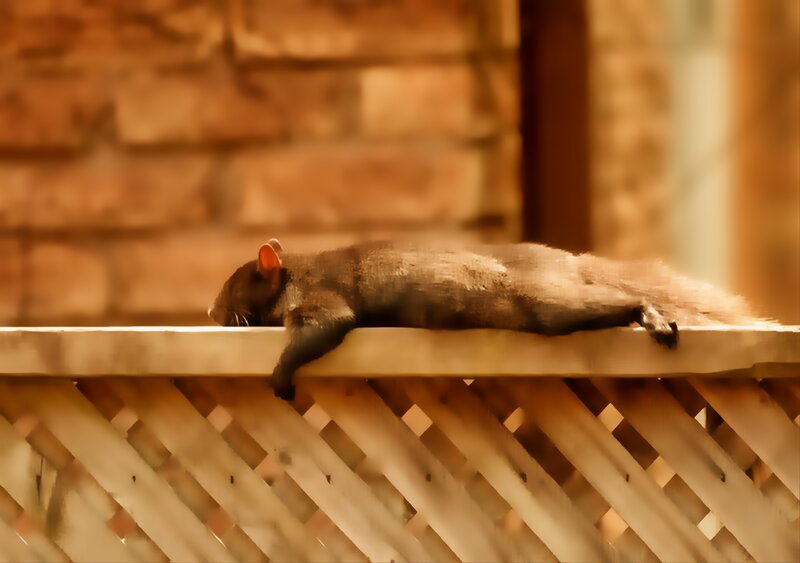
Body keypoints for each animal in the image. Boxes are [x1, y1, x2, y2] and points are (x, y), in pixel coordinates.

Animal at [208, 239, 768, 400]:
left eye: (233, 282)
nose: (210, 311)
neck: (296, 273)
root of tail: (570, 263)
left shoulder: (324, 300)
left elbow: (321, 330)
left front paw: (280, 379)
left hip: (547, 304)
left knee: (616, 301)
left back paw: (650, 318)